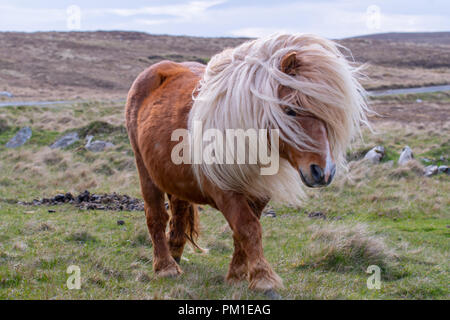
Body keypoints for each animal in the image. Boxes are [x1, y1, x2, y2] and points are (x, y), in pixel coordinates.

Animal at [124, 32, 370, 292]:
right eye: (290, 110)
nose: (323, 172)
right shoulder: (224, 189)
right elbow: (247, 227)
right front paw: (263, 278)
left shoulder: (259, 191)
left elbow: (242, 232)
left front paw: (238, 275)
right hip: (145, 170)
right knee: (156, 216)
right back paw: (165, 267)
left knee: (179, 212)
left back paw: (175, 256)